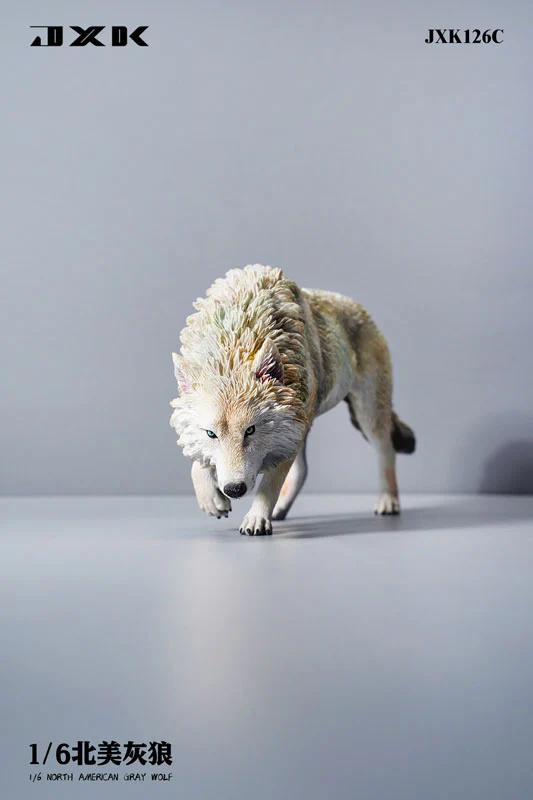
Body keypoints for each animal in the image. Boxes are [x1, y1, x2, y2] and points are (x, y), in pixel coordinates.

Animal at [170, 264, 415, 535]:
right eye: (211, 434)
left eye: (250, 430)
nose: (234, 489)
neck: (238, 336)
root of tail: (360, 310)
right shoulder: (287, 429)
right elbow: (197, 461)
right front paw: (211, 499)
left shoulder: (285, 434)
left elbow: (269, 486)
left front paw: (256, 519)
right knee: (303, 471)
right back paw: (280, 510)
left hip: (366, 414)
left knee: (386, 449)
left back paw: (388, 501)